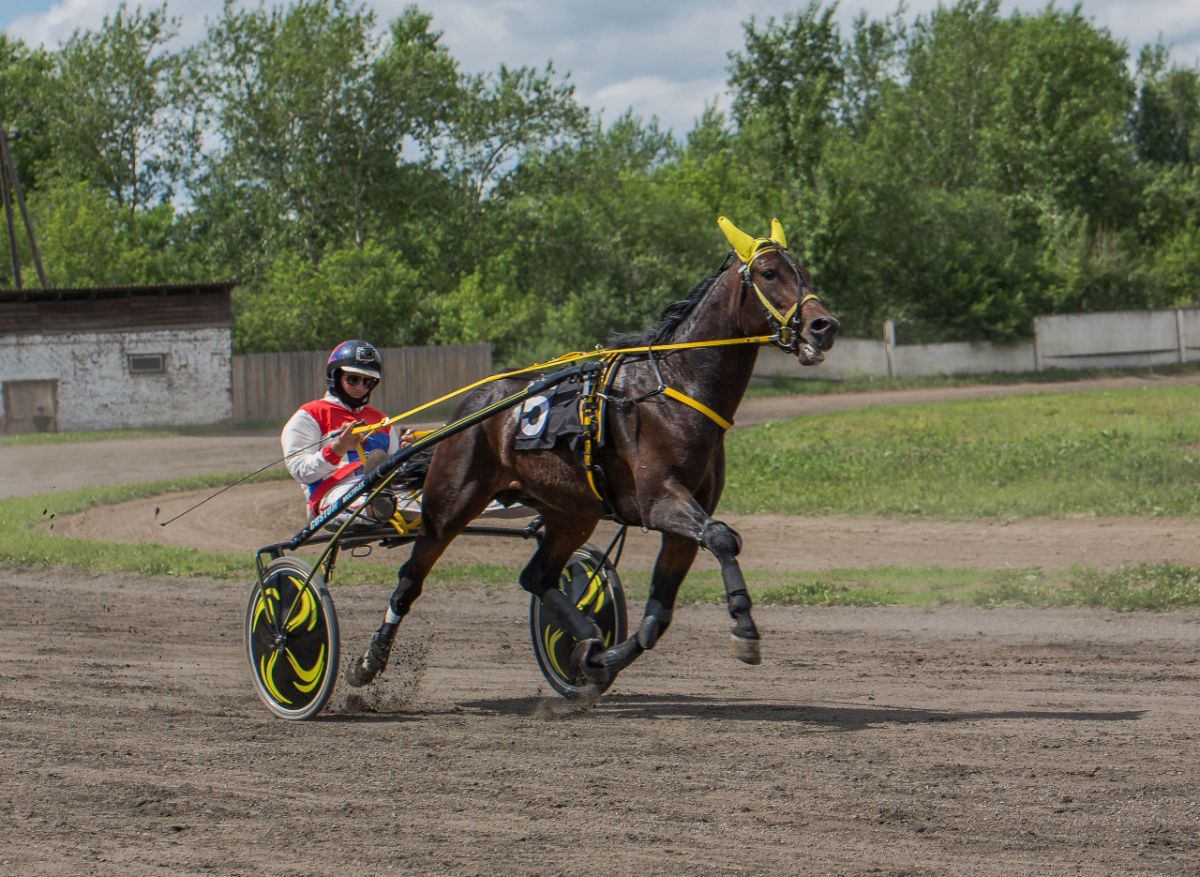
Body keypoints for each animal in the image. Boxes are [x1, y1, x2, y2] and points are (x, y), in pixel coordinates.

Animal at [343, 215, 840, 691]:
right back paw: (368, 662)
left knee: (536, 577)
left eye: (806, 272)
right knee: (410, 579)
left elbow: (657, 617)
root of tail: (470, 408)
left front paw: (599, 658)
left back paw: (584, 636)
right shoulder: (659, 502)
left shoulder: (683, 521)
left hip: (570, 512)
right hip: (451, 503)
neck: (675, 386)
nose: (825, 326)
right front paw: (744, 626)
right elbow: (721, 538)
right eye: (769, 272)